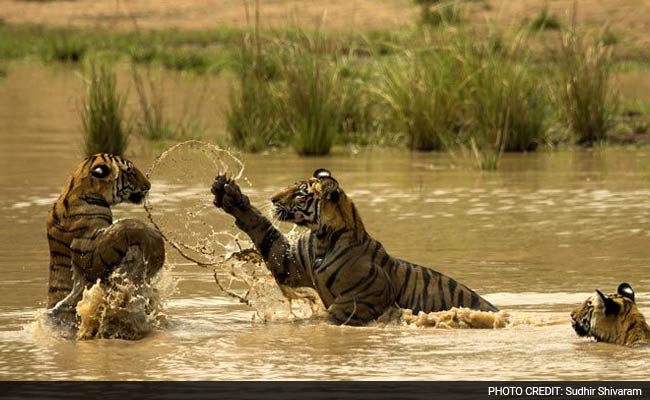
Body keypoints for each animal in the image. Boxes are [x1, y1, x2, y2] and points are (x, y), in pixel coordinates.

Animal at [211, 168, 498, 326]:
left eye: (299, 192)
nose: (272, 198)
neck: (323, 239)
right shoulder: (289, 264)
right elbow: (263, 231)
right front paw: (229, 194)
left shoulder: (366, 296)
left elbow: (329, 315)